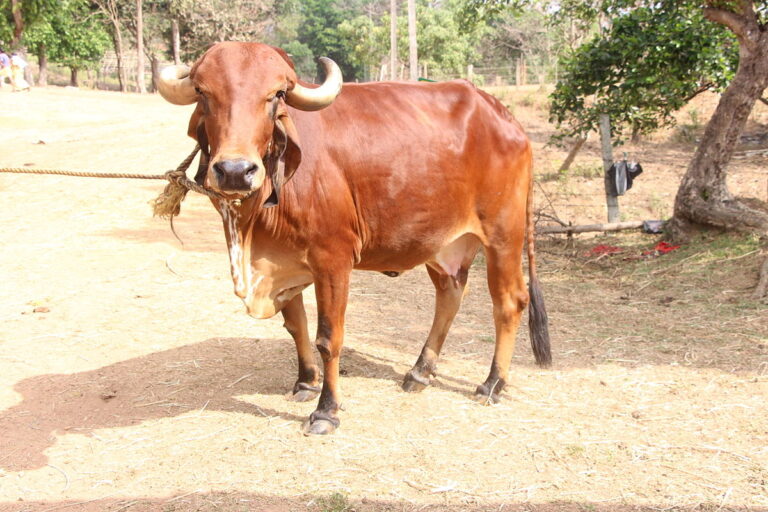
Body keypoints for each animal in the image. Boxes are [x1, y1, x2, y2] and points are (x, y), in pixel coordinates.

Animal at [159, 42, 548, 434]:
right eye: (203, 93)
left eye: (275, 95)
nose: (235, 171)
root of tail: (504, 117)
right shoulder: (284, 262)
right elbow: (296, 326)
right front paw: (305, 382)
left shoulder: (333, 260)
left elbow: (328, 338)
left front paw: (326, 410)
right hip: (443, 245)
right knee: (450, 295)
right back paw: (420, 372)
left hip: (503, 236)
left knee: (509, 302)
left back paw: (492, 383)